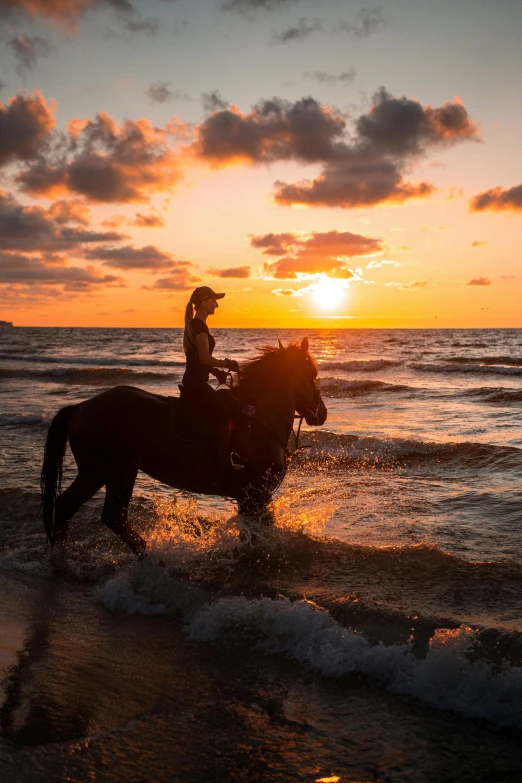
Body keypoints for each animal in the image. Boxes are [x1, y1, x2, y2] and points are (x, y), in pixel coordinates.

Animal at [40, 336, 324, 556]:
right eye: (312, 375)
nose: (322, 413)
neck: (260, 419)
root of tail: (81, 407)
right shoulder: (253, 494)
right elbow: (256, 532)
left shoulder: (254, 497)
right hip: (120, 471)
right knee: (113, 516)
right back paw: (150, 554)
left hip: (95, 472)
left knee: (65, 506)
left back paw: (61, 559)